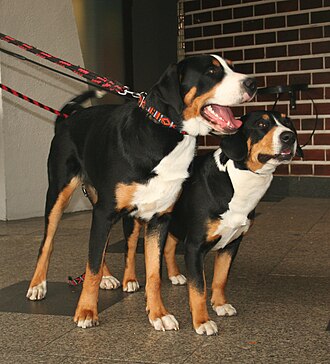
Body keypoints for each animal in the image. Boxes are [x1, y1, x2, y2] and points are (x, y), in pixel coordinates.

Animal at [27, 54, 256, 330]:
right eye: (211, 72)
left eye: (231, 66)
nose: (252, 84)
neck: (167, 135)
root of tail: (66, 118)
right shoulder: (105, 212)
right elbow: (91, 267)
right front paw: (86, 312)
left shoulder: (158, 218)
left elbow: (153, 272)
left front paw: (158, 314)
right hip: (60, 193)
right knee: (48, 243)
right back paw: (37, 285)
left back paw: (107, 277)